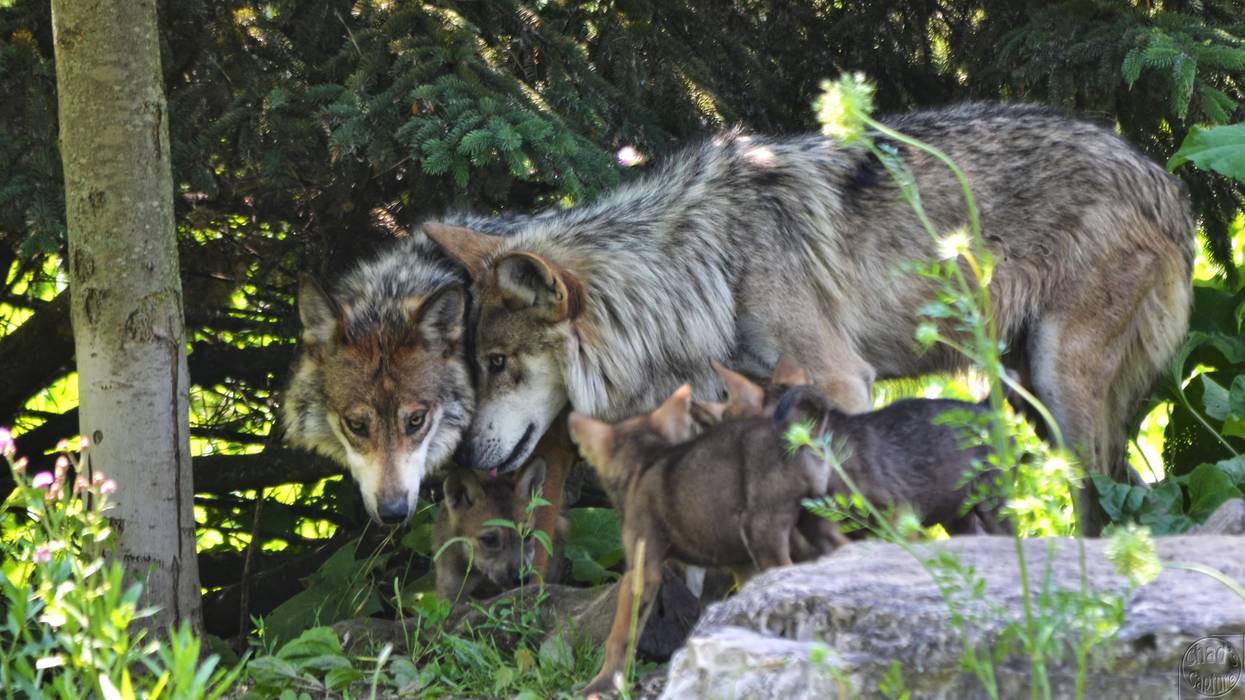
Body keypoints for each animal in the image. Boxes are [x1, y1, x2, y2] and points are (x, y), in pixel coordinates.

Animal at [424, 103, 1194, 530]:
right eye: (475, 365)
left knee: (1098, 491)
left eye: (497, 364)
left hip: (1058, 384)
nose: (461, 461)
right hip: (1016, 387)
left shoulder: (841, 383)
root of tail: (1168, 181)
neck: (702, 267)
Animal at [568, 384, 832, 694]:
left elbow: (620, 635)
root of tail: (796, 434)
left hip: (764, 536)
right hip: (819, 524)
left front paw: (602, 683)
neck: (646, 460)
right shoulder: (741, 564)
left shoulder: (643, 570)